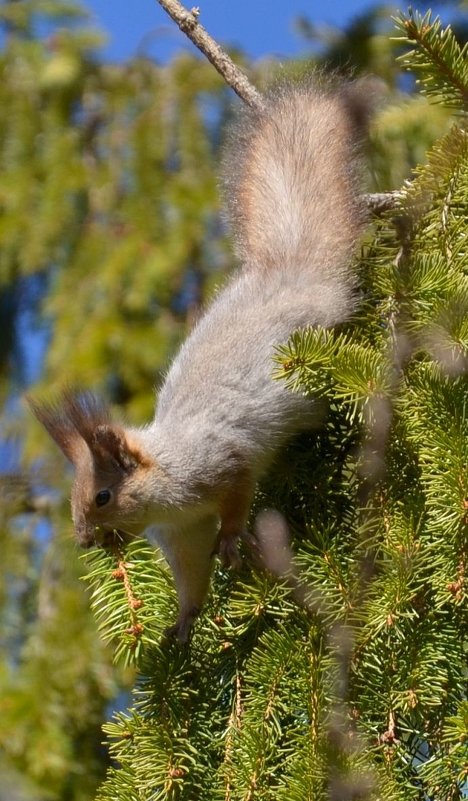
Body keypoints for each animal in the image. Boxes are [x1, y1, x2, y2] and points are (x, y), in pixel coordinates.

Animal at [29, 78, 374, 640]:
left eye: (102, 496)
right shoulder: (182, 537)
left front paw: (232, 540)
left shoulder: (223, 462)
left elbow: (237, 497)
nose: (83, 539)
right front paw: (182, 623)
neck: (168, 480)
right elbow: (191, 579)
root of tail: (292, 276)